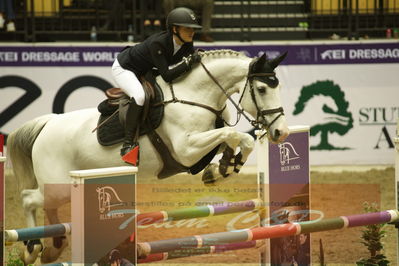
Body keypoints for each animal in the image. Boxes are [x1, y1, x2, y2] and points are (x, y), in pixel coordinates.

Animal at [5, 48, 288, 262]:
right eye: (262, 89)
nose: (281, 132)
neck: (194, 96)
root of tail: (46, 124)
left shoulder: (201, 146)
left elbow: (239, 139)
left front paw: (221, 169)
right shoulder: (186, 150)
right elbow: (233, 135)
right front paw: (223, 168)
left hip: (60, 187)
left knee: (47, 208)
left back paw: (54, 247)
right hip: (60, 185)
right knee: (30, 199)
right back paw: (32, 248)